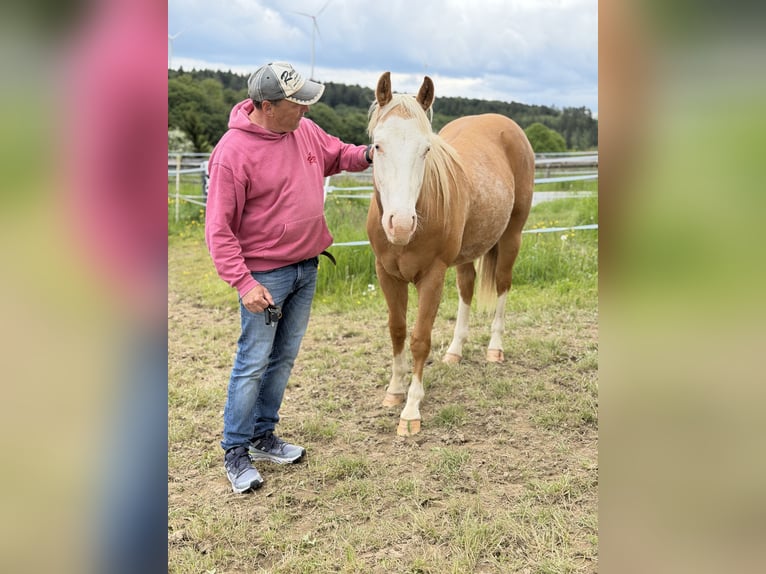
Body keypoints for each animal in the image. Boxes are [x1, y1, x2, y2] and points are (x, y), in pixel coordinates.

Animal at [366, 72, 535, 436]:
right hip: (467, 254)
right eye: (377, 146)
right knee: (467, 289)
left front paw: (411, 410)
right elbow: (397, 330)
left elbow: (420, 339)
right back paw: (455, 352)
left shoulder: (432, 275)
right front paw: (394, 391)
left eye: (425, 149)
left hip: (512, 237)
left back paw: (495, 349)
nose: (401, 224)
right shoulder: (386, 273)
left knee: (503, 285)